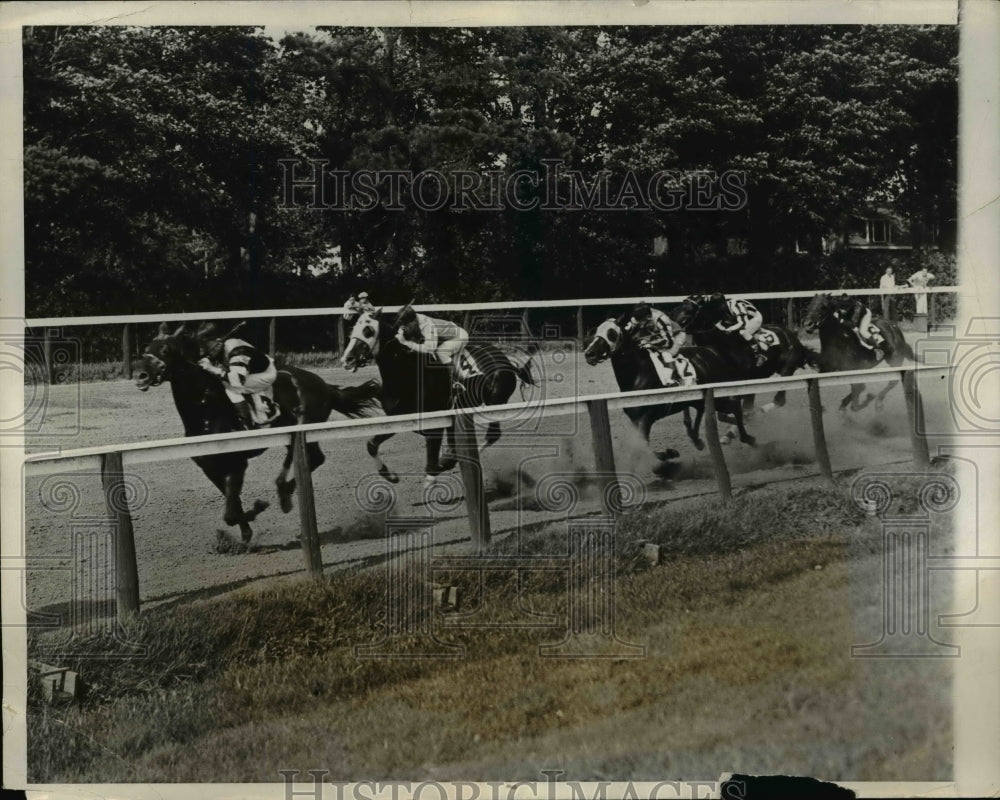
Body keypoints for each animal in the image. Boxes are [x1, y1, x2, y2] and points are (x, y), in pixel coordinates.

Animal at [137, 322, 378, 548]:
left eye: (166, 349)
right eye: (146, 349)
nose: (141, 377)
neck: (206, 414)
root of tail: (326, 387)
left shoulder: (237, 465)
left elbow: (230, 513)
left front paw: (257, 510)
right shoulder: (210, 469)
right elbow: (233, 505)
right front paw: (244, 535)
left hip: (303, 425)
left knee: (307, 456)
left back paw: (283, 492)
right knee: (314, 458)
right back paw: (284, 492)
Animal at [342, 310, 536, 488]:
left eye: (368, 331)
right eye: (353, 329)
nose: (347, 359)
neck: (407, 374)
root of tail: (507, 361)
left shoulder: (433, 422)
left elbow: (435, 455)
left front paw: (437, 470)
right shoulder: (401, 418)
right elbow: (371, 445)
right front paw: (390, 476)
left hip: (495, 402)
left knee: (493, 434)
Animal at [584, 314, 752, 462]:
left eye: (611, 333)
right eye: (595, 332)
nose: (589, 353)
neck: (637, 375)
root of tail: (713, 352)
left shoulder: (647, 417)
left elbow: (645, 447)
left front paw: (669, 454)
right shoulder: (634, 419)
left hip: (718, 396)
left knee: (735, 407)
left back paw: (748, 437)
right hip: (697, 397)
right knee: (702, 410)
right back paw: (697, 440)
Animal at [668, 294, 816, 412]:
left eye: (689, 311)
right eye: (676, 309)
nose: (672, 331)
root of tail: (793, 337)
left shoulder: (744, 379)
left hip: (787, 367)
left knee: (779, 400)